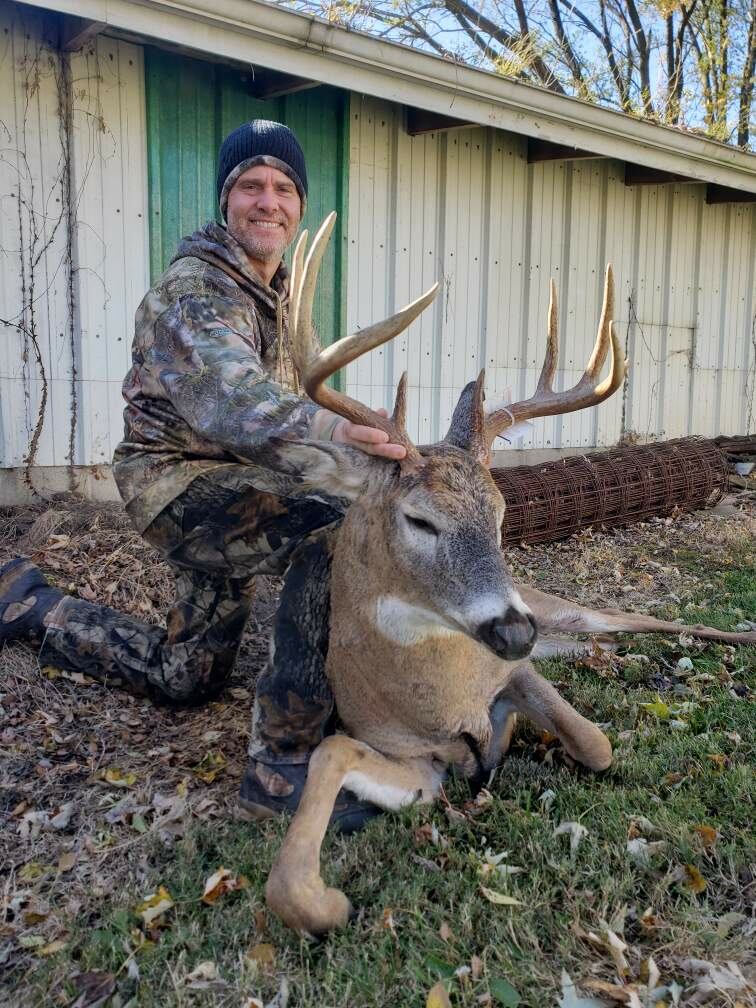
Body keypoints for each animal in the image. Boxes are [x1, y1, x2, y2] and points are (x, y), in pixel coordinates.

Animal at [264, 212, 756, 936]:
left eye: (500, 513)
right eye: (420, 520)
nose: (514, 631)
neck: (444, 701)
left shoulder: (516, 676)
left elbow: (596, 742)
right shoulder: (416, 763)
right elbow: (327, 767)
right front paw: (324, 898)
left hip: (558, 605)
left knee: (638, 619)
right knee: (599, 641)